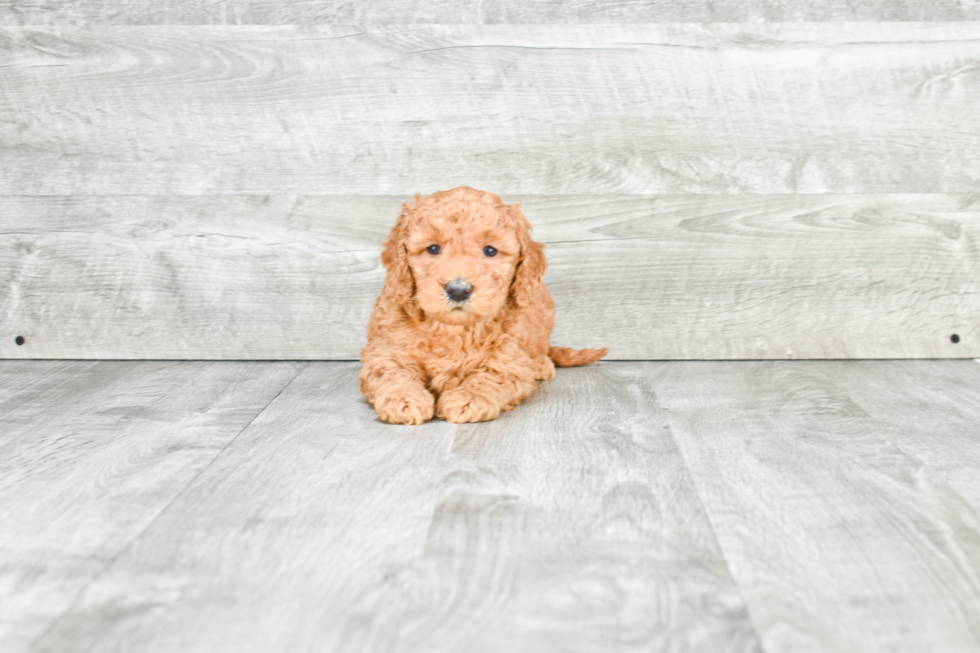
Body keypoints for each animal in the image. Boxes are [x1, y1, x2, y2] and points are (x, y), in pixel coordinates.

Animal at [360, 186, 604, 426]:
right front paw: (402, 398)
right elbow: (392, 372)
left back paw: (542, 365)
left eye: (490, 251)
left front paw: (469, 398)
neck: (454, 329)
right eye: (433, 249)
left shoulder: (511, 356)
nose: (458, 290)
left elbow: (492, 375)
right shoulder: (386, 349)